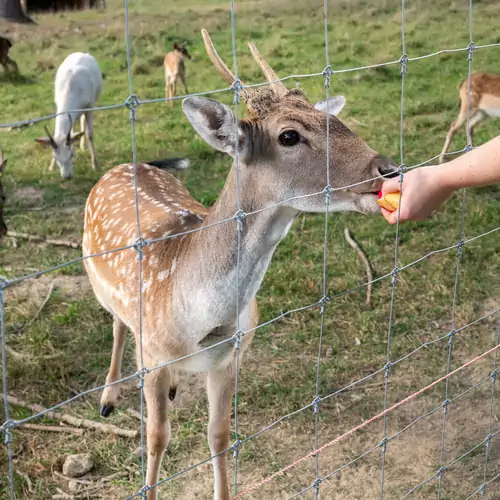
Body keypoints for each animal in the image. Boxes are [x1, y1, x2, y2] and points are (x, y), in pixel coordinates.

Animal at [35, 52, 102, 180]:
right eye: (55, 157)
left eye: (71, 155)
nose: (67, 176)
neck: (70, 88)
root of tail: (83, 53)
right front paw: (51, 167)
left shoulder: (90, 106)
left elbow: (90, 134)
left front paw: (95, 165)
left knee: (82, 121)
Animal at [83, 28, 398, 500]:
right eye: (289, 136)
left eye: (334, 120)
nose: (388, 169)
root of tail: (126, 163)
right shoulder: (152, 355)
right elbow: (156, 438)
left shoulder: (232, 355)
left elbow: (220, 435)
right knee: (119, 325)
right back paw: (108, 398)